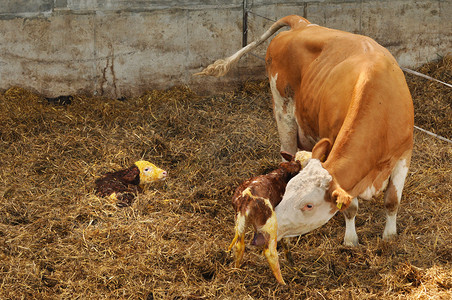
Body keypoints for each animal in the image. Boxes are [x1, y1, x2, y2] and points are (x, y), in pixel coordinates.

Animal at [196, 14, 414, 246]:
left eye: (308, 205)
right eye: (286, 192)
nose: (269, 230)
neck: (381, 103)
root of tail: (301, 24)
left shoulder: (404, 154)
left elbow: (392, 201)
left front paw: (390, 236)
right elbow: (350, 208)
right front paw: (350, 241)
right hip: (283, 111)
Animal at [230, 151, 310, 284]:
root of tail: (246, 197)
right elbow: (286, 241)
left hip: (240, 221)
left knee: (239, 246)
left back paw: (236, 270)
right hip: (270, 223)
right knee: (270, 253)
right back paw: (283, 283)